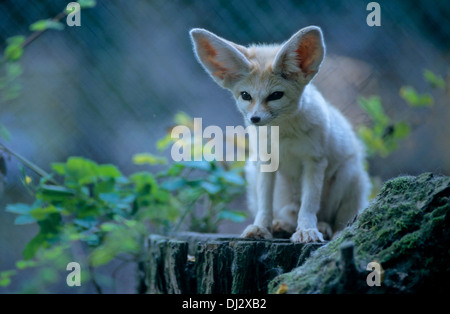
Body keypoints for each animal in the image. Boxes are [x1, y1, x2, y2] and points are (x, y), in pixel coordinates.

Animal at [189, 27, 370, 243]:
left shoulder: (315, 161)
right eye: (246, 96)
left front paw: (307, 230)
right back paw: (281, 226)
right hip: (254, 173)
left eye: (276, 95)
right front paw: (260, 227)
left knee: (338, 219)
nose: (255, 119)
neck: (283, 136)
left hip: (348, 174)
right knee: (287, 214)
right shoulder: (266, 162)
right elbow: (265, 204)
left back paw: (327, 229)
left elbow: (309, 204)